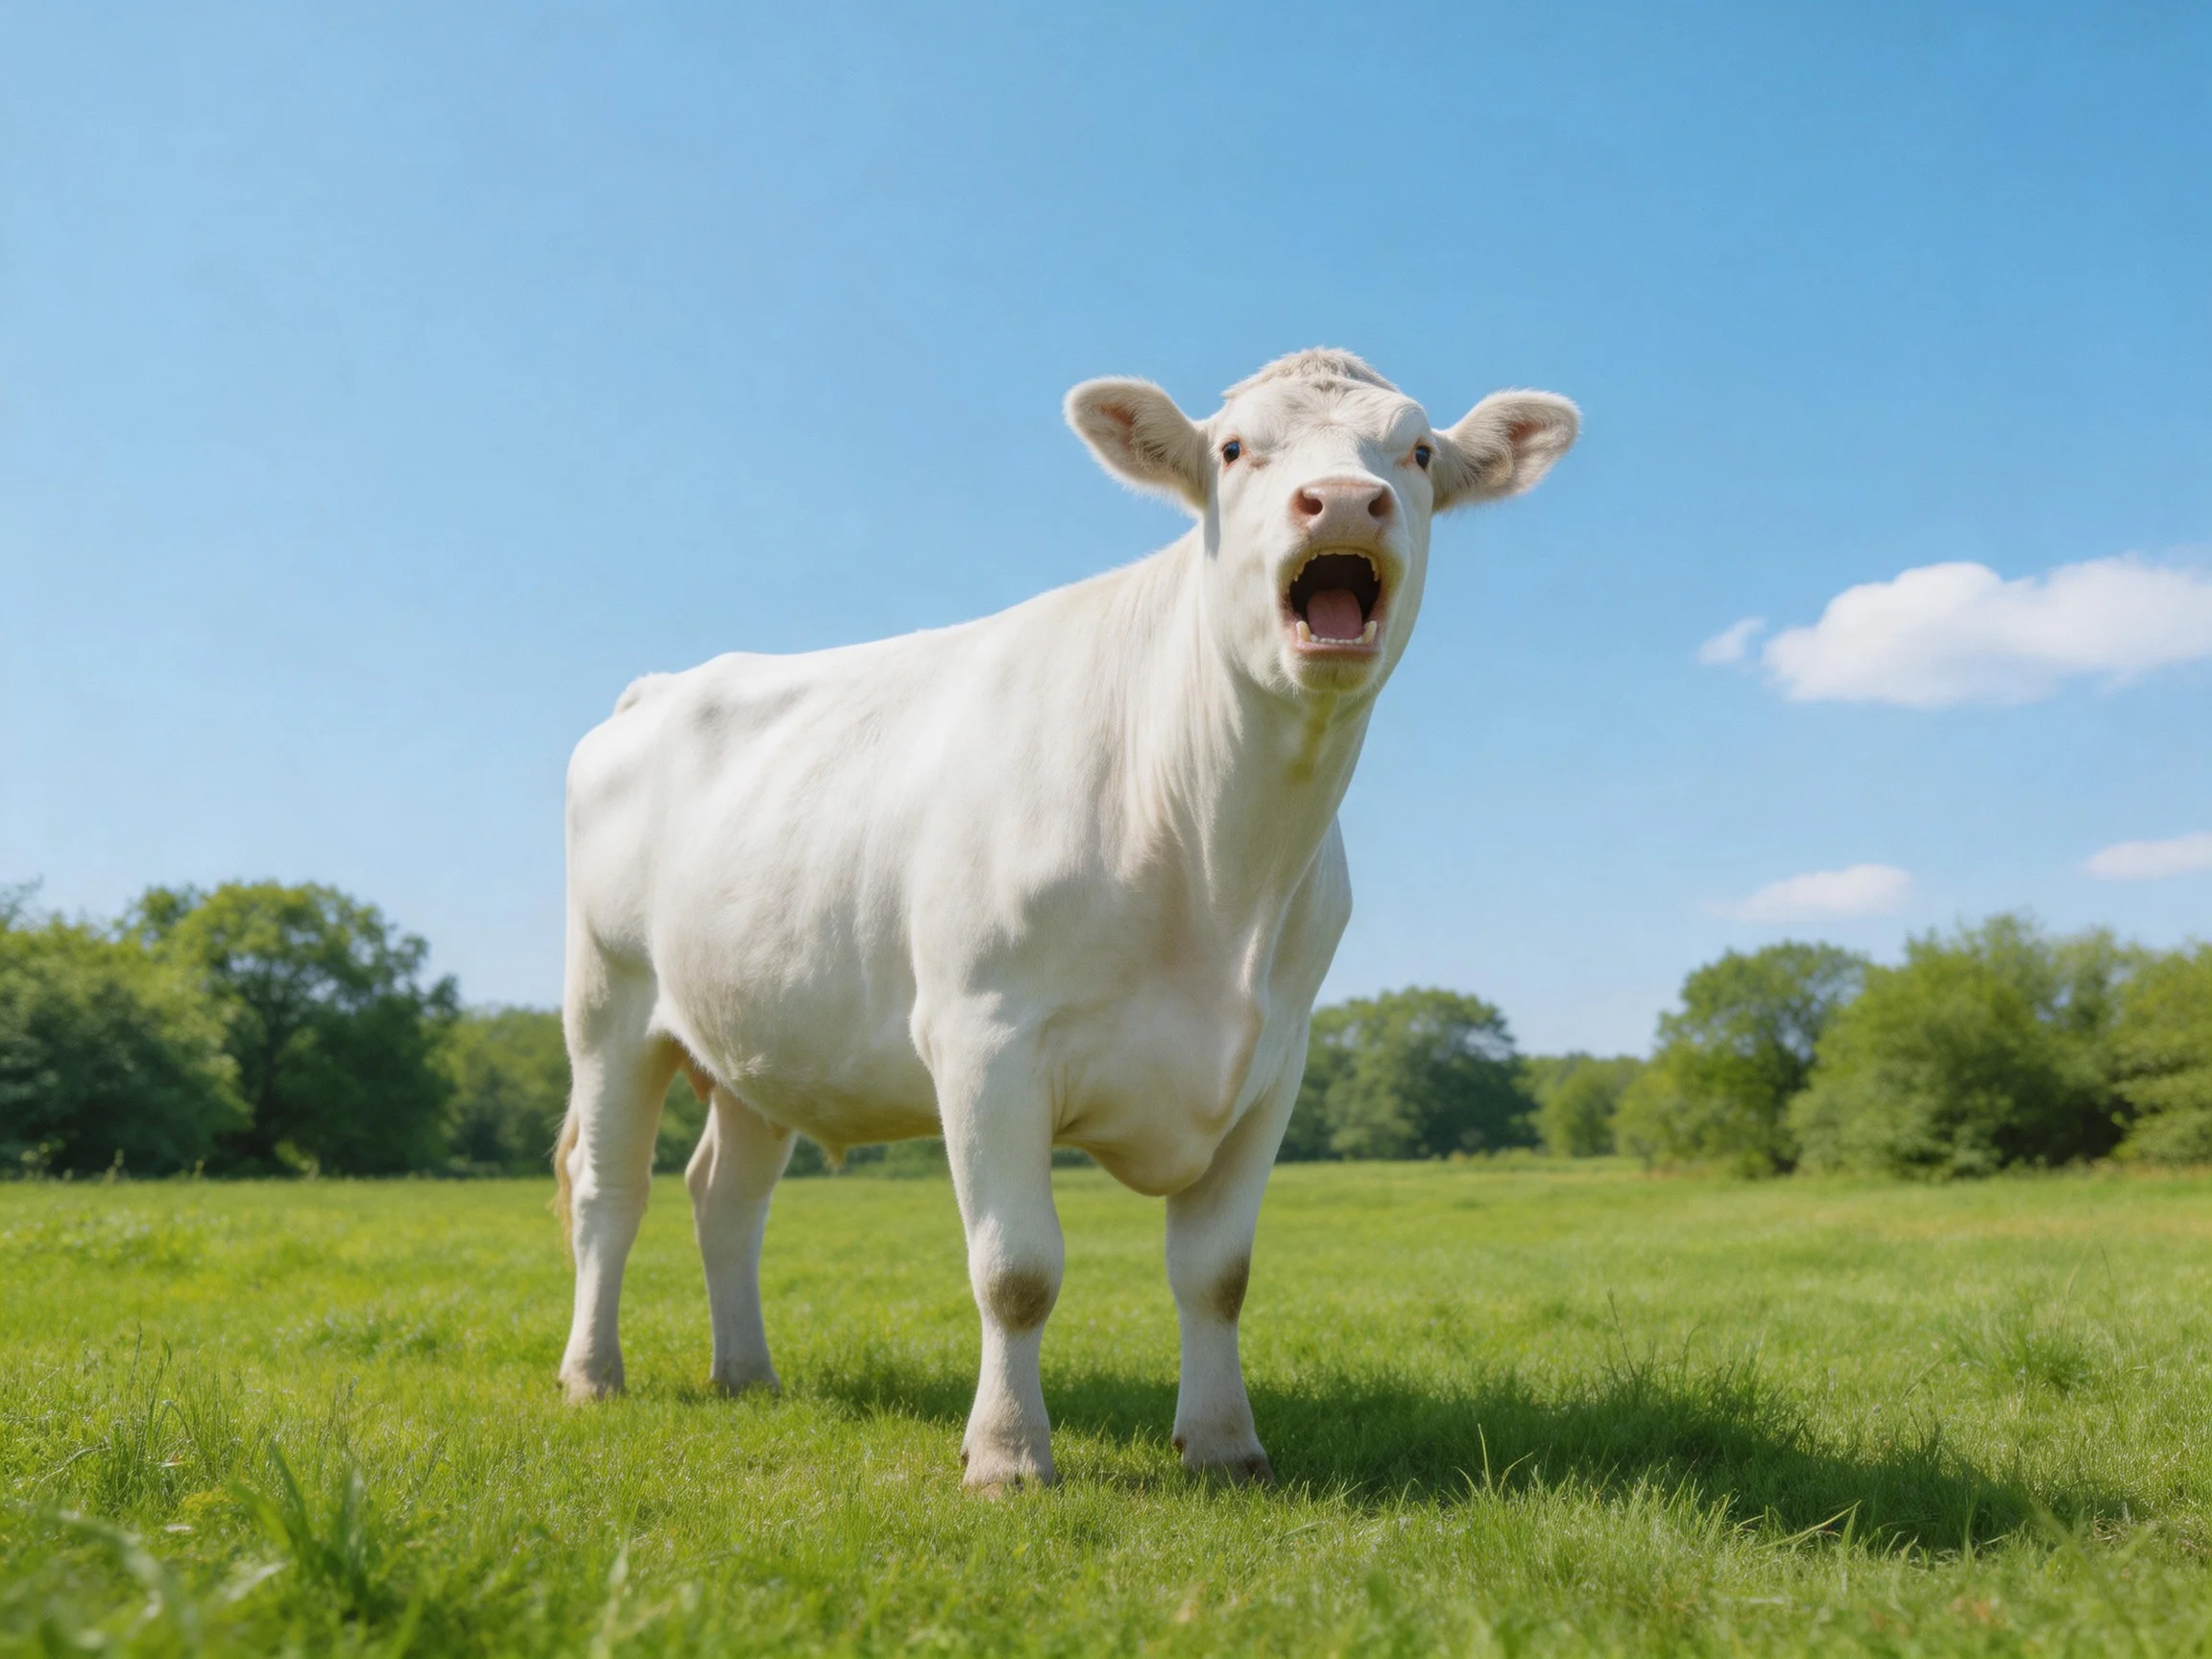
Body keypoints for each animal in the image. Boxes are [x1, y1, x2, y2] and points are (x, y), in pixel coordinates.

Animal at [553, 348, 1577, 1491]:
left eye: (1420, 452)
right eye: (1234, 448)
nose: (1348, 500)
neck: (1220, 874)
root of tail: (660, 687)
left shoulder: (1274, 1064)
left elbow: (1218, 1273)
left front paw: (1225, 1444)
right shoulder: (982, 1040)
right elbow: (1016, 1270)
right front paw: (1007, 1456)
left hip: (756, 1043)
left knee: (725, 1197)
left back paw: (747, 1375)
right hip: (608, 1003)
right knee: (609, 1193)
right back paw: (593, 1375)